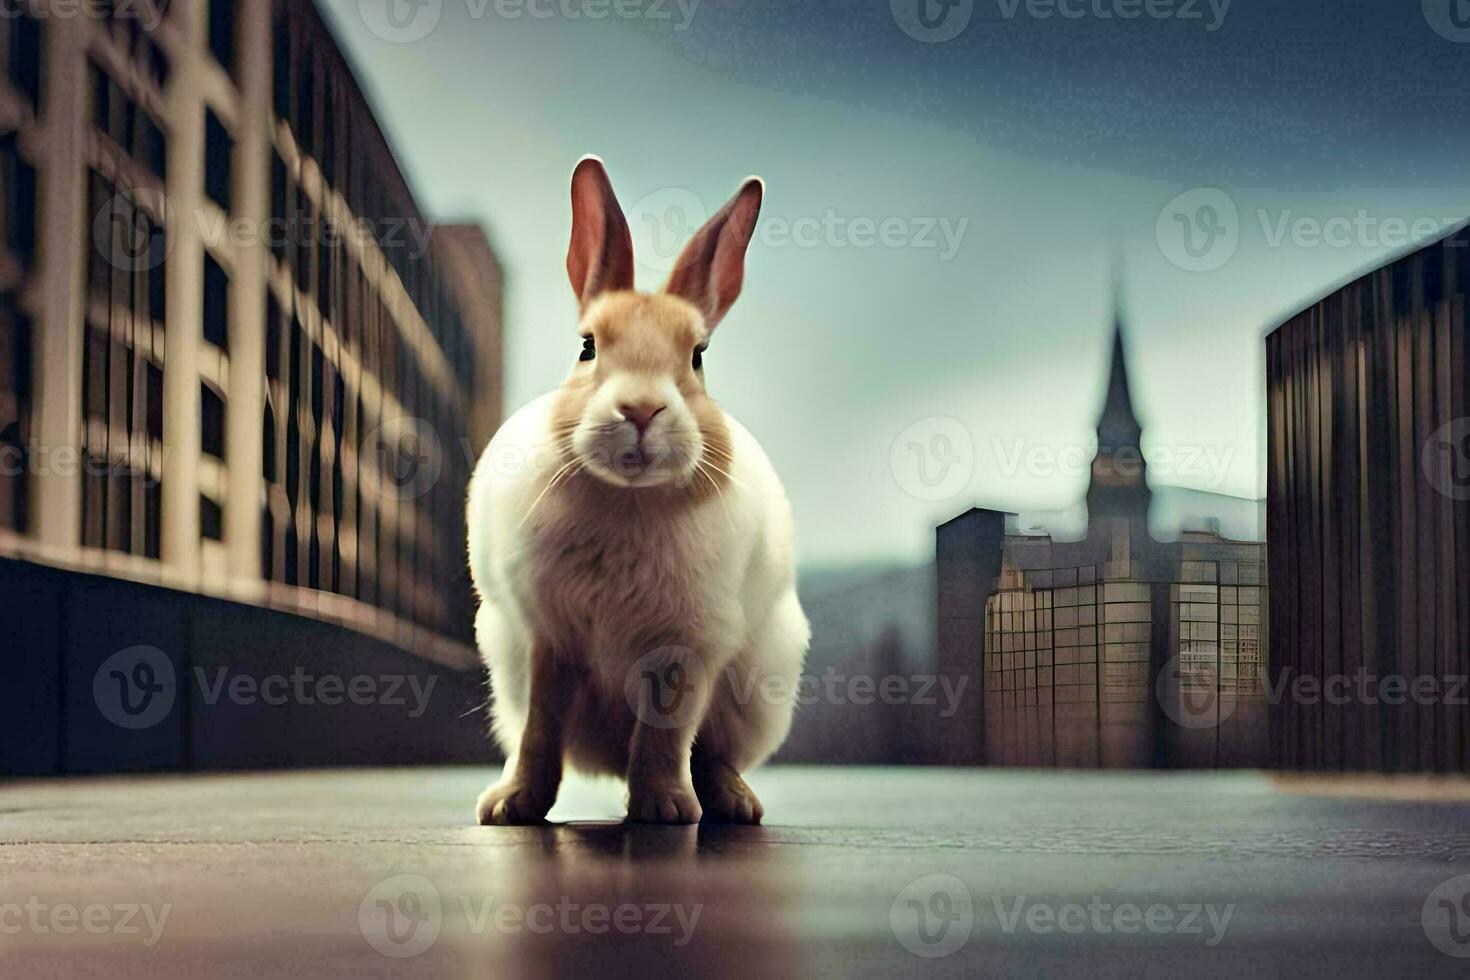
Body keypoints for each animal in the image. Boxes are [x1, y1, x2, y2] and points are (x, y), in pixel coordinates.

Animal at [464, 157, 811, 822]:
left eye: (698, 355)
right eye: (587, 346)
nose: (642, 410)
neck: (629, 497)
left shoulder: (685, 648)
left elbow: (665, 731)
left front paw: (665, 811)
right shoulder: (549, 640)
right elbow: (540, 729)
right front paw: (513, 807)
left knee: (715, 753)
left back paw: (733, 803)